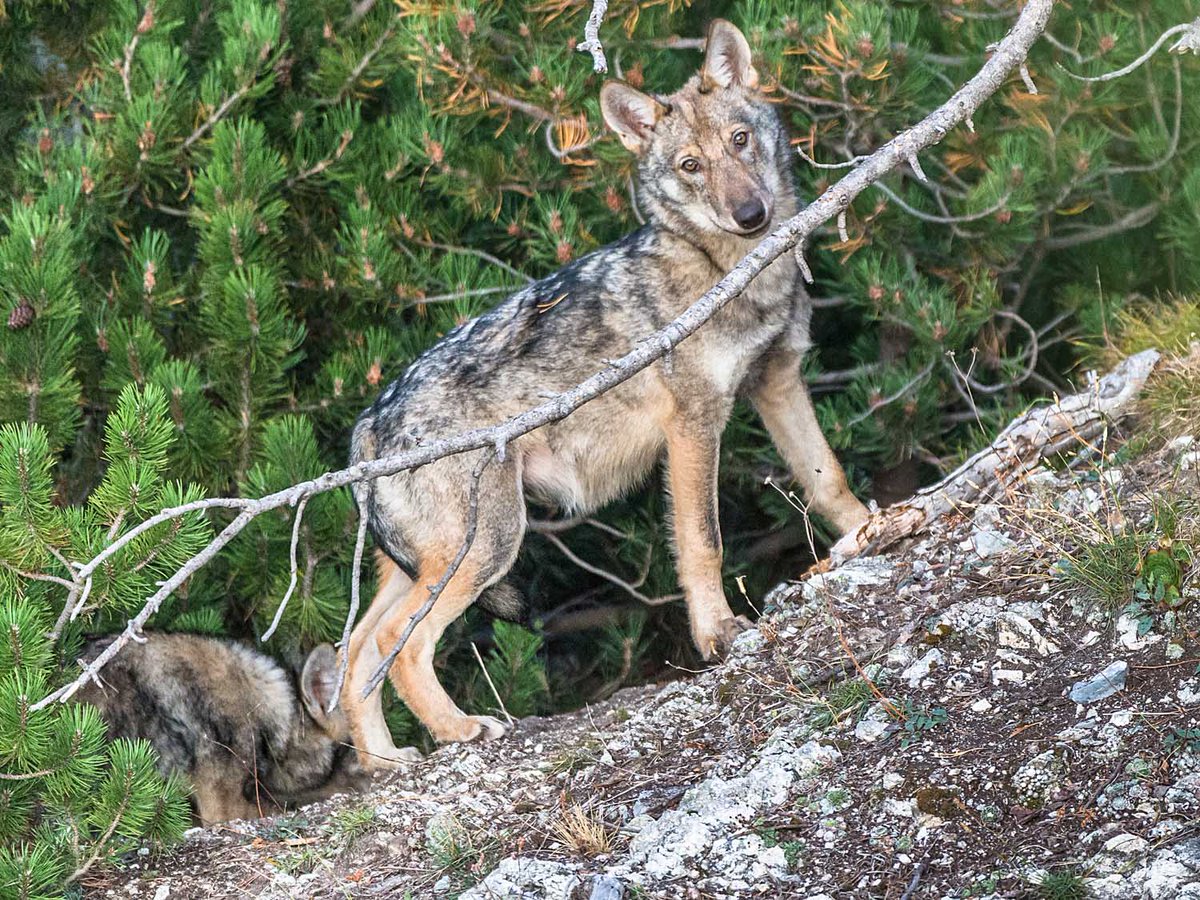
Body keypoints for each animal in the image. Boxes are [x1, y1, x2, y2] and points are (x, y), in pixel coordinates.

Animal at [342, 19, 870, 769]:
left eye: (740, 140)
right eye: (691, 166)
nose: (750, 213)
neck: (728, 270)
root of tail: (367, 423)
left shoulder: (779, 381)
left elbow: (829, 479)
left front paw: (875, 529)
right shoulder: (695, 423)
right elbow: (703, 542)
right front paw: (718, 636)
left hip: (422, 565)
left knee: (351, 654)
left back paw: (387, 762)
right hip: (488, 546)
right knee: (397, 646)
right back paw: (461, 731)